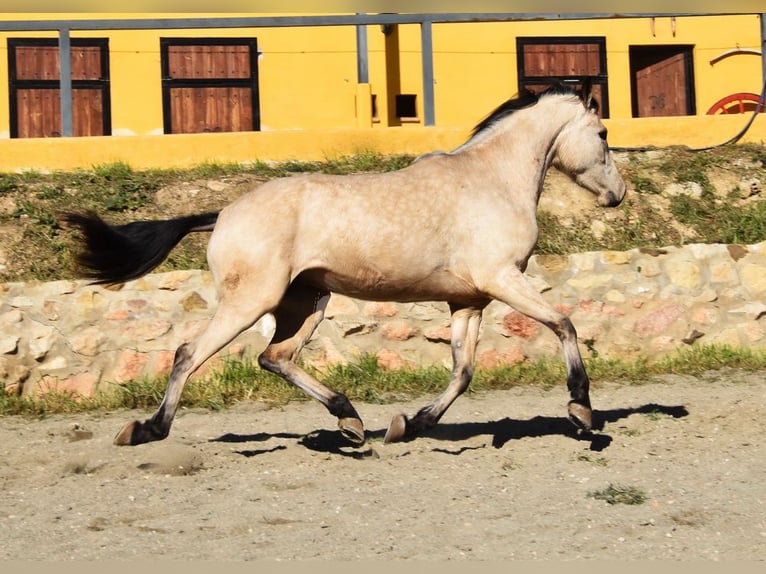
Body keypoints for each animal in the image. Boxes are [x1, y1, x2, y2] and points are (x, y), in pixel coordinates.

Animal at [64, 81, 632, 450]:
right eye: (603, 134)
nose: (619, 195)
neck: (491, 179)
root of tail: (223, 214)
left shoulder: (468, 299)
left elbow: (463, 371)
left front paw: (411, 423)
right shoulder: (502, 279)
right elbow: (564, 323)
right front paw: (583, 412)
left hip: (308, 302)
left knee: (275, 358)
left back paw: (352, 421)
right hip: (251, 302)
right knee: (189, 353)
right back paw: (147, 430)